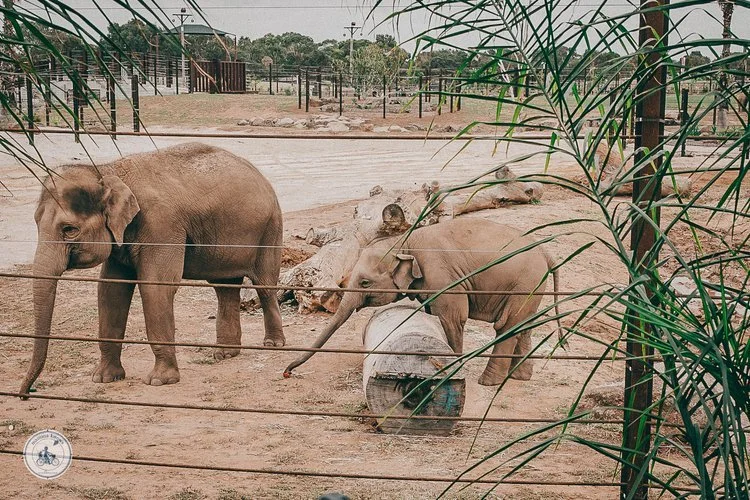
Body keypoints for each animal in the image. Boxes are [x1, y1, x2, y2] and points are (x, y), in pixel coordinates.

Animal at [19, 142, 284, 394]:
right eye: (35, 222)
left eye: (69, 230)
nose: (27, 391)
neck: (108, 170)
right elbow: (111, 290)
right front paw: (104, 378)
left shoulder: (162, 226)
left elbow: (155, 287)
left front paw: (160, 381)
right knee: (224, 288)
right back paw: (225, 354)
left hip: (271, 229)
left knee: (264, 286)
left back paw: (273, 345)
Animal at [284, 218, 561, 386]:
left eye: (364, 283)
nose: (287, 372)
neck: (404, 242)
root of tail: (546, 253)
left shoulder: (445, 278)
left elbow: (453, 318)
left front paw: (454, 368)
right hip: (532, 287)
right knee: (524, 324)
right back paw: (519, 377)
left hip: (524, 283)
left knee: (506, 326)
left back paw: (488, 382)